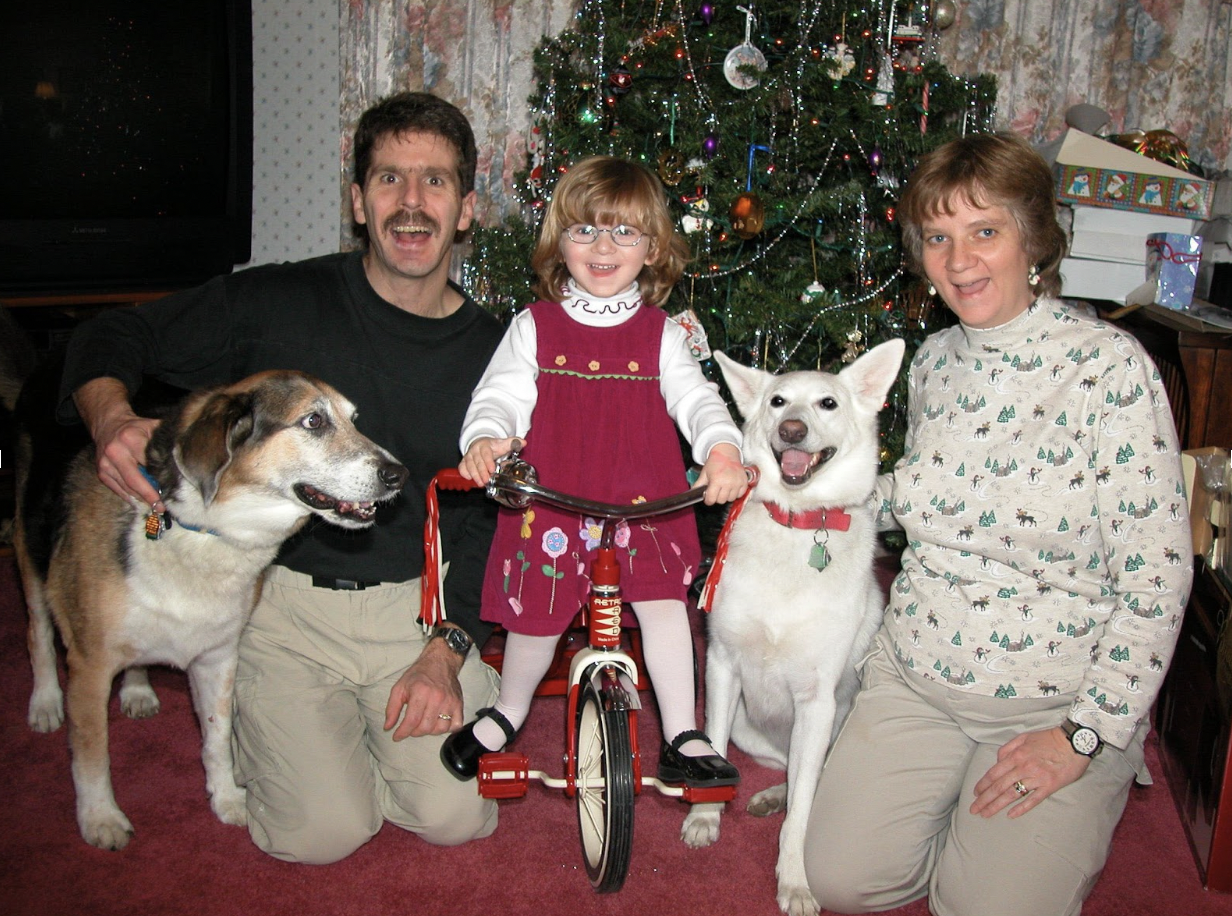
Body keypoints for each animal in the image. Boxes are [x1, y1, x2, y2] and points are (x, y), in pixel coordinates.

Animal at [14, 371, 406, 851]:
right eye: (313, 421)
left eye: (353, 419)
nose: (399, 474)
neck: (204, 530)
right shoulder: (90, 666)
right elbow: (92, 755)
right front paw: (99, 817)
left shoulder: (218, 657)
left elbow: (217, 740)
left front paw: (227, 800)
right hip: (30, 551)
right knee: (37, 633)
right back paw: (46, 702)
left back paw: (137, 688)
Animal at [684, 342, 906, 916]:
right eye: (778, 401)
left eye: (828, 402)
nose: (791, 429)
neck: (798, 523)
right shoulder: (721, 668)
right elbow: (713, 751)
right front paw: (704, 817)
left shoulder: (816, 699)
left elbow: (805, 809)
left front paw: (795, 880)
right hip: (748, 722)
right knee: (785, 766)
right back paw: (767, 796)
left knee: (812, 776)